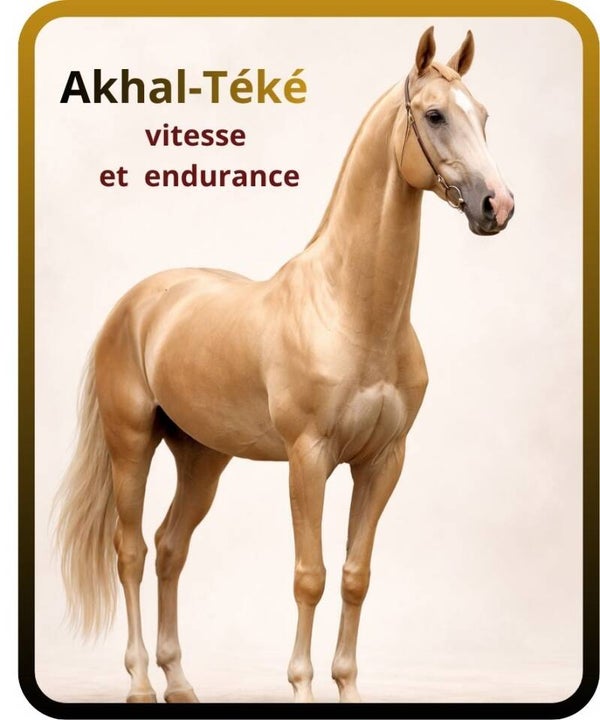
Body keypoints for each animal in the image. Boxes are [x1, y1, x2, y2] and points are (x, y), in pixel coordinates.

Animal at [55, 26, 514, 704]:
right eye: (435, 115)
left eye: (482, 116)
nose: (496, 206)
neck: (352, 313)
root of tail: (137, 303)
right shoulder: (309, 458)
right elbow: (310, 575)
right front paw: (302, 687)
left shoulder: (384, 461)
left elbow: (354, 575)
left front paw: (347, 688)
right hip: (130, 444)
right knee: (131, 550)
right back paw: (140, 682)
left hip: (202, 457)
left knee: (170, 548)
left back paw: (179, 682)